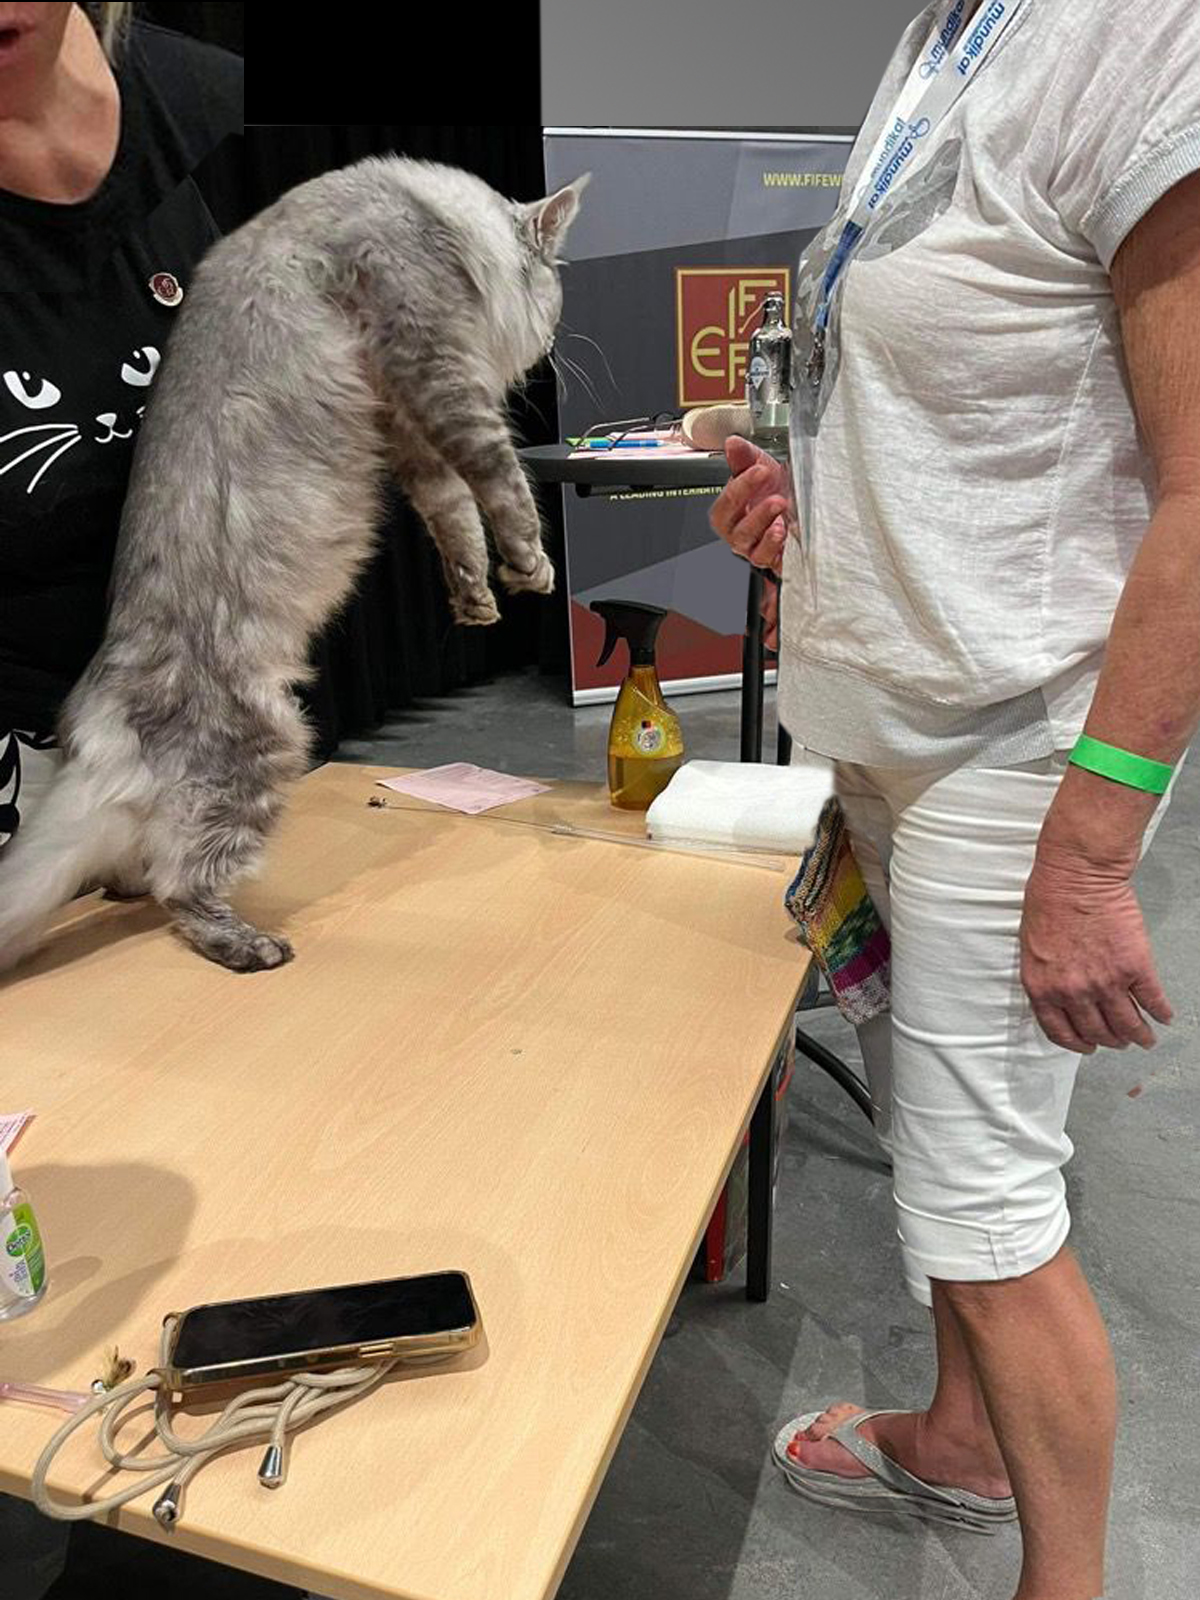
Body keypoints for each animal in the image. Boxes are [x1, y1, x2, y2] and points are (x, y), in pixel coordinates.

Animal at [0, 154, 590, 975]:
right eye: (550, 294)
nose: (553, 340)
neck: (424, 212)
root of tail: (94, 725)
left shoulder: (409, 428)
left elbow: (454, 523)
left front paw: (476, 599)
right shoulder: (432, 362)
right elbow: (501, 483)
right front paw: (531, 566)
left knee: (133, 865)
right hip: (262, 751)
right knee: (180, 883)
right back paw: (247, 944)